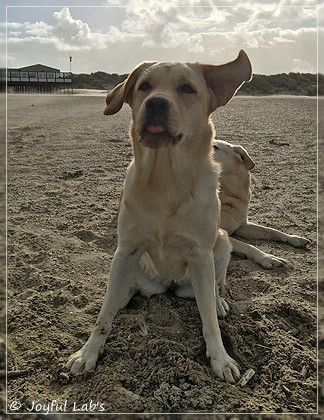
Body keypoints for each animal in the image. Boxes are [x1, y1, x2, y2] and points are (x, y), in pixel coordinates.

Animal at [66, 50, 252, 384]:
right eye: (144, 86)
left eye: (187, 88)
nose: (156, 103)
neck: (165, 178)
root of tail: (169, 285)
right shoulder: (126, 250)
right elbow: (103, 316)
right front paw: (87, 353)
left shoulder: (201, 254)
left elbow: (208, 319)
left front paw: (220, 358)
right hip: (130, 264)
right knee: (121, 292)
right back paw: (125, 294)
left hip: (221, 244)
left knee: (216, 286)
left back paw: (218, 301)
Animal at [214, 139, 310, 268]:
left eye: (215, 146)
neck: (231, 194)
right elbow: (248, 245)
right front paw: (267, 257)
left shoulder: (243, 226)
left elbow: (271, 230)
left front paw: (293, 238)